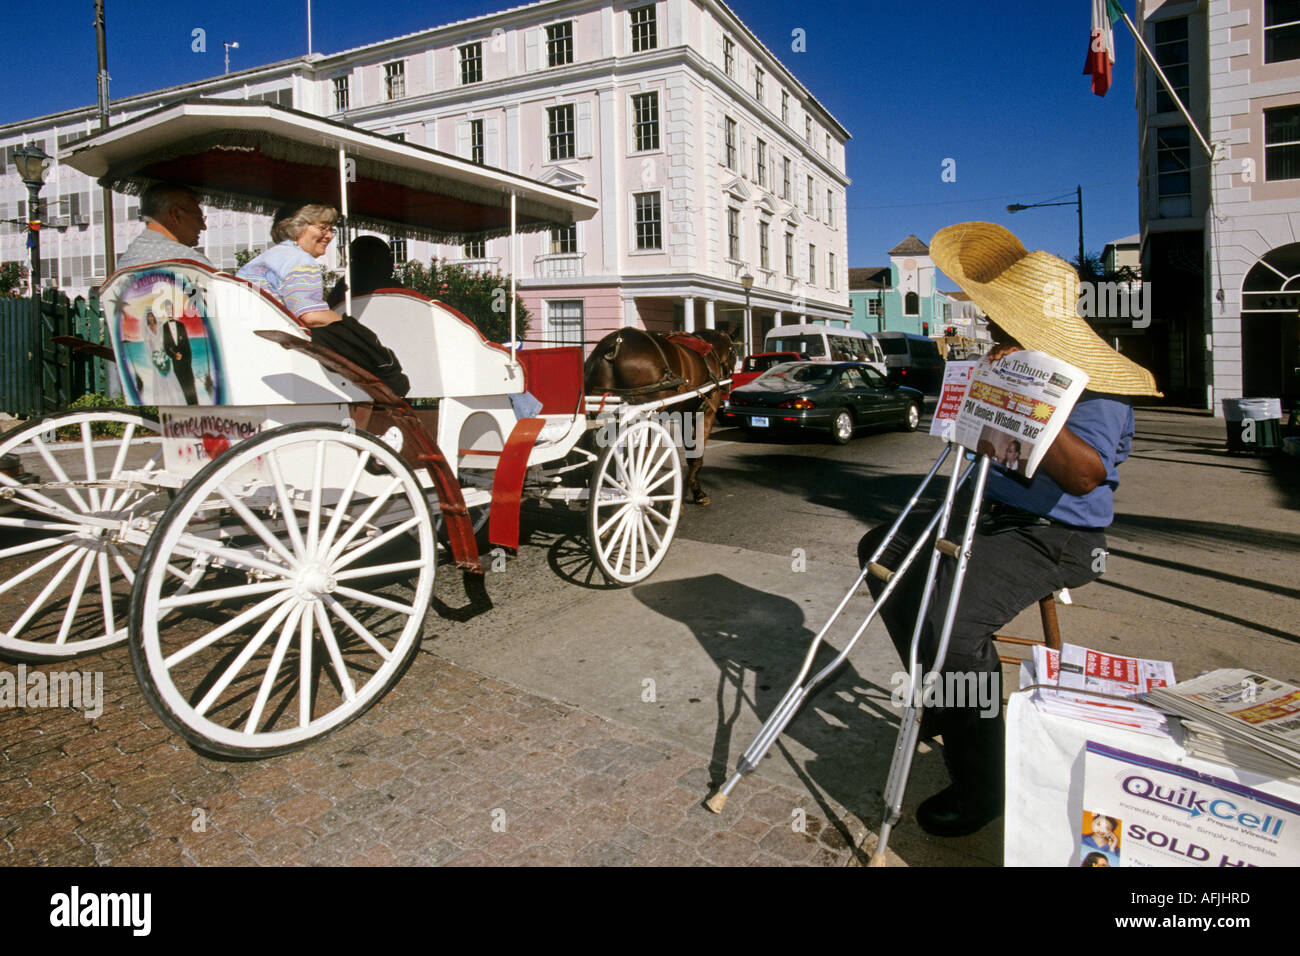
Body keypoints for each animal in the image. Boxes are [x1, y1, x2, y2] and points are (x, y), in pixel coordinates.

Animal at [585, 327, 738, 509]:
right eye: (734, 354)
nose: (728, 386)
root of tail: (615, 344)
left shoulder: (685, 416)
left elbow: (691, 455)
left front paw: (694, 491)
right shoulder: (706, 414)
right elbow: (697, 457)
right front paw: (685, 498)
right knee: (640, 458)